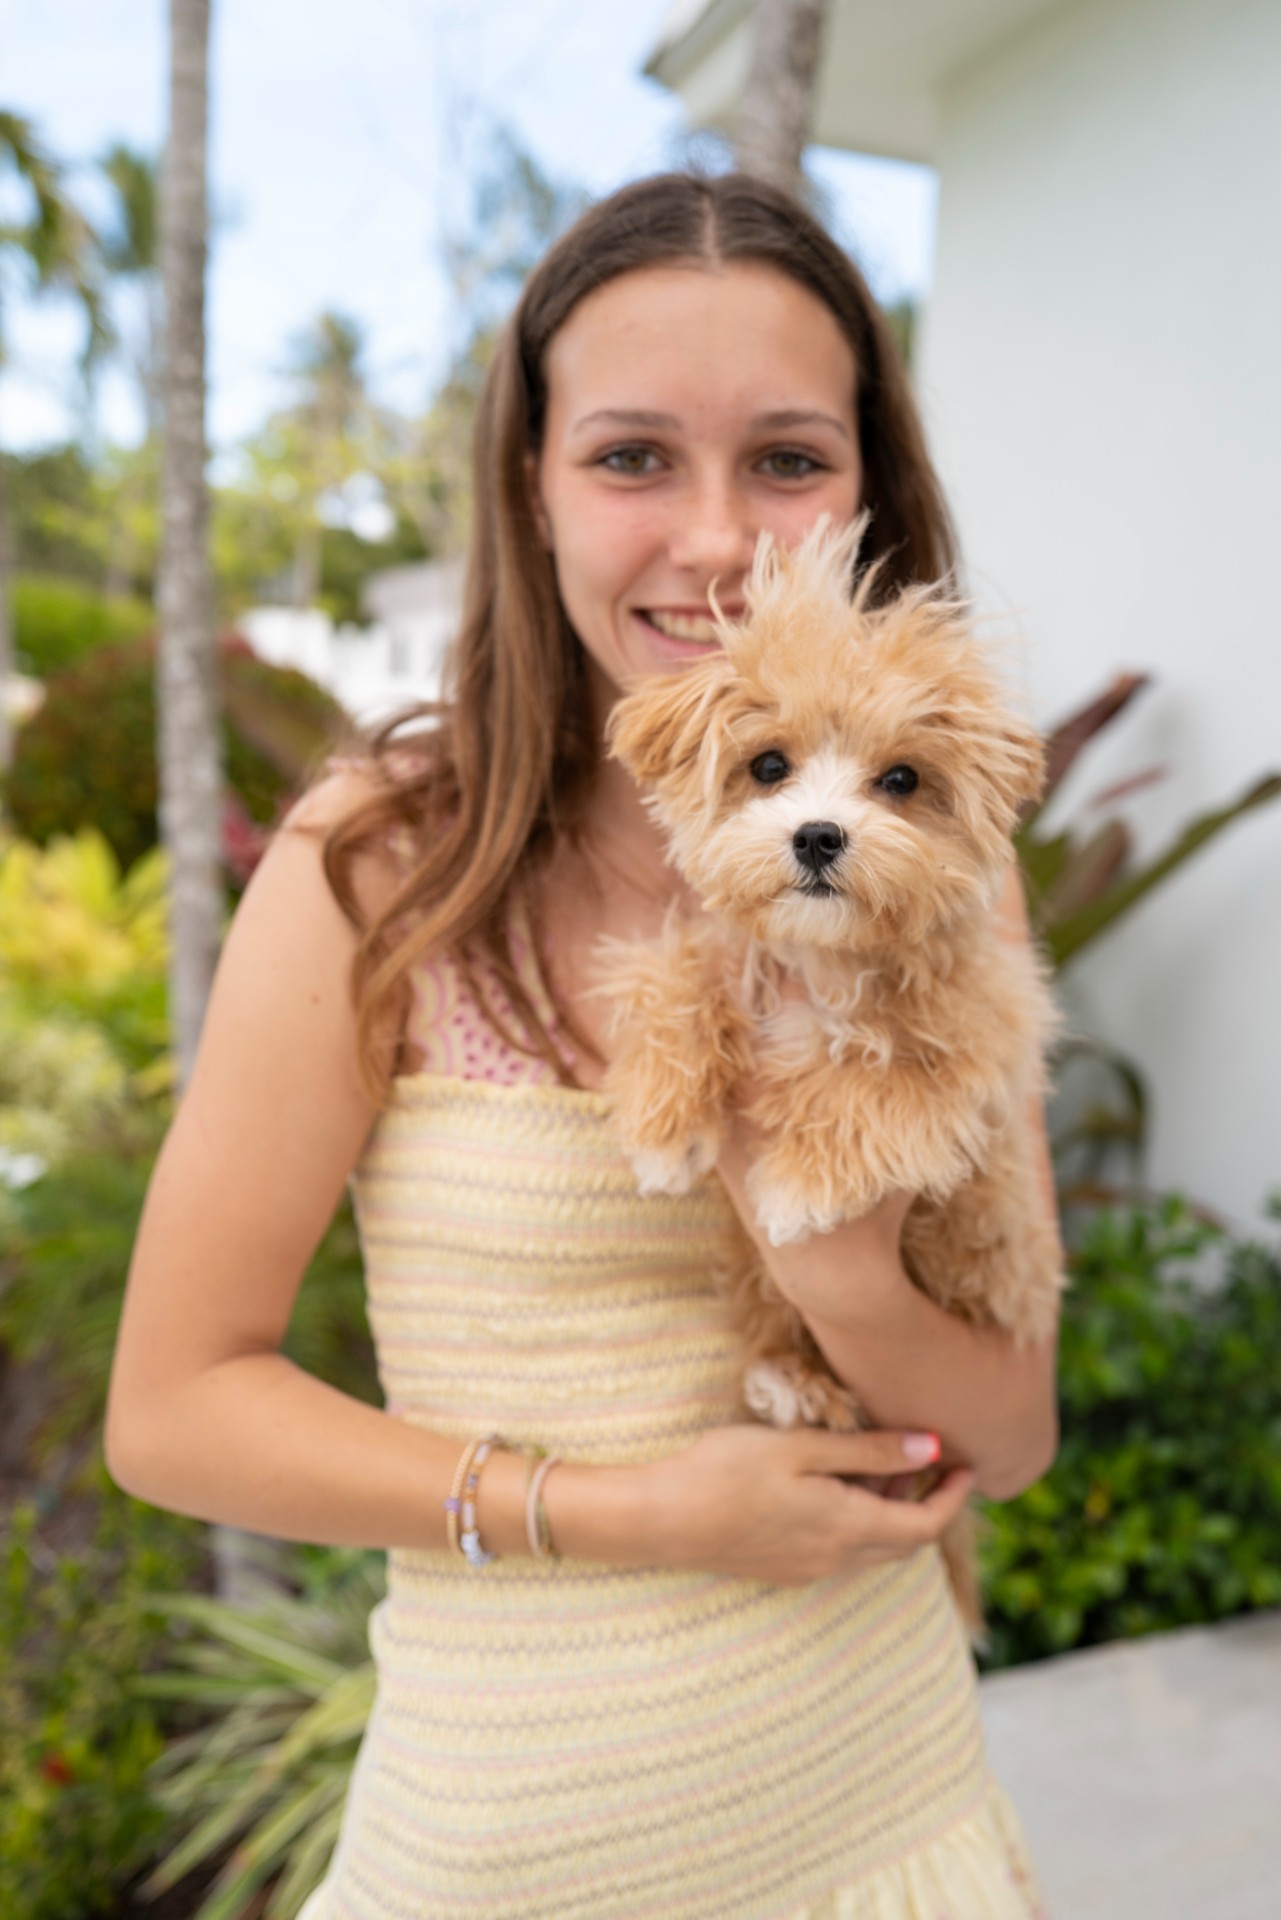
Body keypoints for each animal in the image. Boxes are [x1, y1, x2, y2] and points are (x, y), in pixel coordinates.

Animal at [599, 522, 1060, 1605]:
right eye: (768, 765)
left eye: (901, 780)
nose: (816, 834)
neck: (822, 966)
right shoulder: (716, 955)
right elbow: (671, 979)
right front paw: (664, 1127)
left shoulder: (976, 1050)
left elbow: (880, 1090)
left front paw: (801, 1187)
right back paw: (788, 1385)